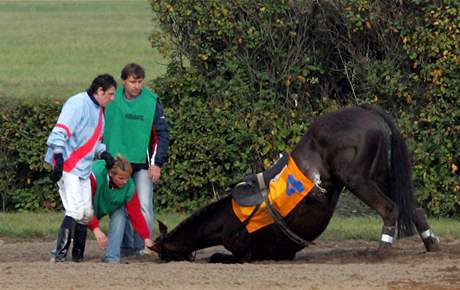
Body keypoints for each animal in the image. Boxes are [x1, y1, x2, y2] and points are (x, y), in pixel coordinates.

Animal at [150, 105, 438, 262]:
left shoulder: (245, 253)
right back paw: (430, 242)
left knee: (390, 208)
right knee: (411, 207)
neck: (227, 217)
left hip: (358, 180)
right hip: (380, 175)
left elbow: (218, 256)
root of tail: (366, 110)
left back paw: (381, 251)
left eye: (163, 252)